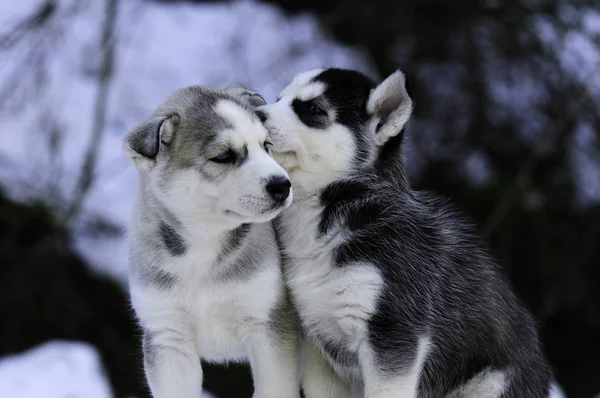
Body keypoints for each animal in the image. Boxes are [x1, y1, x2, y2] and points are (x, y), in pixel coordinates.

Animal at [122, 84, 300, 398]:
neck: (203, 243)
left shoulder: (268, 324)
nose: (282, 185)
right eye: (224, 156)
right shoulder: (168, 337)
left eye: (266, 146)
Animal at [256, 68, 552, 398]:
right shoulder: (320, 346)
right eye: (280, 99)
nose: (255, 113)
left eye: (315, 110)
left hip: (487, 386)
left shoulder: (394, 334)